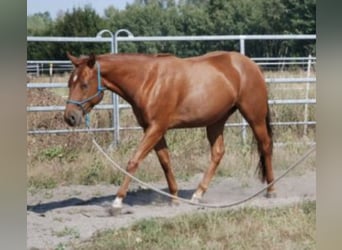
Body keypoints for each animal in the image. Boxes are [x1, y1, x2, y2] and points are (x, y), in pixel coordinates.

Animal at [64, 51, 276, 211]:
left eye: (84, 84)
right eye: (69, 83)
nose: (70, 117)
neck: (148, 80)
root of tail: (252, 65)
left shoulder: (156, 128)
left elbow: (134, 161)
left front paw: (117, 201)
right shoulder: (154, 129)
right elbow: (165, 162)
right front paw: (174, 197)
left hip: (254, 116)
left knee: (265, 146)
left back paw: (271, 191)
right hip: (216, 121)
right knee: (217, 153)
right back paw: (198, 194)